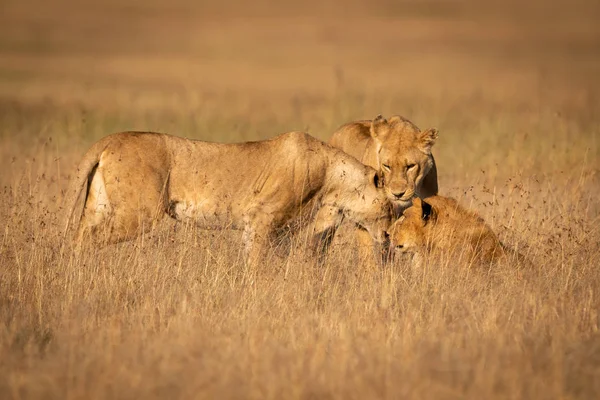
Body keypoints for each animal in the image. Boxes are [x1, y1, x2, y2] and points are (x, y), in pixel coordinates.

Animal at [64, 130, 394, 266]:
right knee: (89, 238)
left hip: (98, 205)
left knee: (80, 233)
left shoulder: (266, 230)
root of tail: (111, 138)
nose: (389, 236)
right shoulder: (262, 220)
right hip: (140, 213)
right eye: (388, 208)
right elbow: (257, 266)